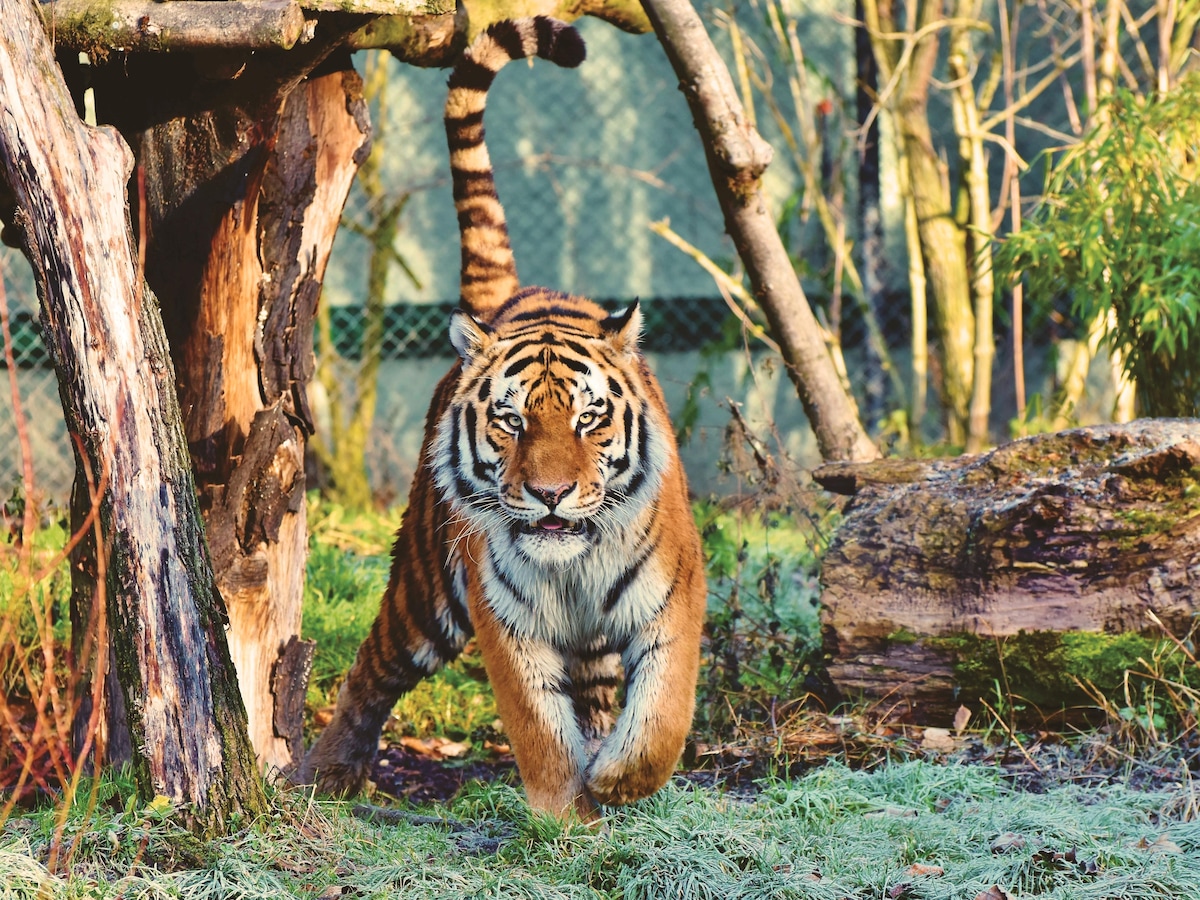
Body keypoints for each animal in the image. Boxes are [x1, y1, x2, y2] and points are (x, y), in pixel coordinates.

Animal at [297, 16, 707, 821]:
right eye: (511, 424)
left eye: (588, 420)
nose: (549, 494)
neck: (574, 565)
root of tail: (513, 295)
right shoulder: (504, 620)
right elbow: (537, 728)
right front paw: (563, 812)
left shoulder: (675, 596)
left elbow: (663, 715)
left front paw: (618, 779)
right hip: (425, 589)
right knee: (371, 669)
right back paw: (326, 772)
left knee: (599, 693)